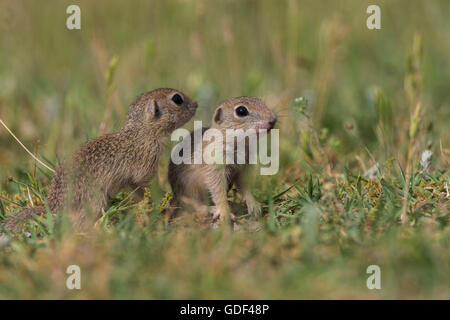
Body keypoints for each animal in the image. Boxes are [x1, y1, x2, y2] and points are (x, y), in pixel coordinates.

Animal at [1, 89, 198, 234]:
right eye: (177, 99)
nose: (196, 103)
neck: (141, 133)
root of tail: (55, 207)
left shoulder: (130, 181)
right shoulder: (145, 167)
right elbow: (148, 185)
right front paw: (163, 200)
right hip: (96, 201)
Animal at [168, 97, 276, 225]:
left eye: (261, 102)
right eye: (241, 111)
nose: (273, 120)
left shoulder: (244, 168)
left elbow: (245, 186)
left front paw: (253, 204)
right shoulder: (214, 168)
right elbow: (218, 190)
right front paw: (225, 212)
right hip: (189, 188)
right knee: (192, 205)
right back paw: (211, 209)